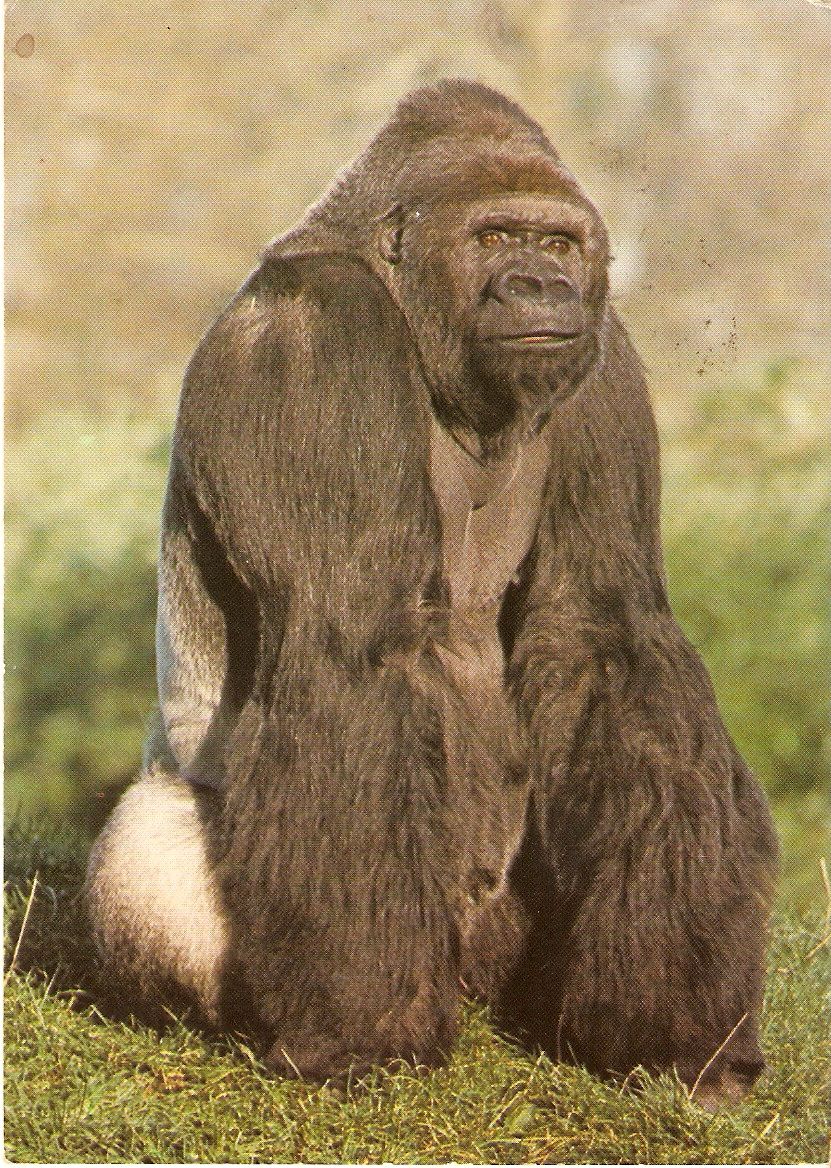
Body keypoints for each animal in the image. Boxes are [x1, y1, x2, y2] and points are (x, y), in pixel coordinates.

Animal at [86, 79, 778, 1104]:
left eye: (557, 243)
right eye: (494, 238)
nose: (541, 287)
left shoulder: (602, 353)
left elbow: (605, 639)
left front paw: (673, 1017)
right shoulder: (315, 341)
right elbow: (352, 648)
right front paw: (362, 1031)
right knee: (151, 847)